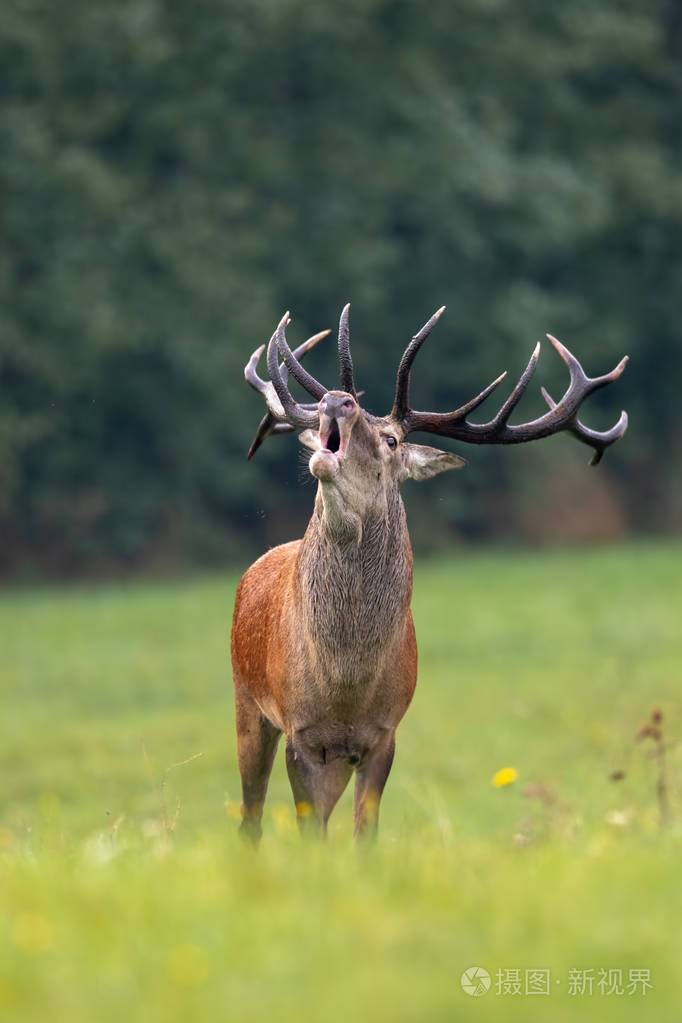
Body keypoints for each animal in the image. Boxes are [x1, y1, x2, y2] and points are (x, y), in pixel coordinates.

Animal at [231, 302, 629, 838]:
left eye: (391, 439)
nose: (338, 400)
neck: (345, 683)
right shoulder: (299, 729)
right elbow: (309, 832)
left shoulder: (384, 734)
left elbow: (364, 833)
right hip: (247, 703)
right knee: (250, 819)